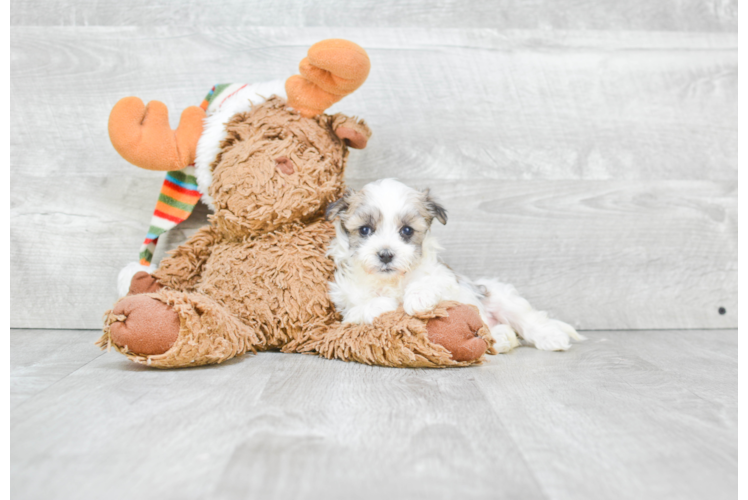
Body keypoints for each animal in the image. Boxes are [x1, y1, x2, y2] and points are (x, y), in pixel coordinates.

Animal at [328, 179, 584, 352]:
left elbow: (430, 282)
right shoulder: (347, 310)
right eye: (365, 230)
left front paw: (417, 298)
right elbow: (367, 306)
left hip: (501, 298)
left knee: (529, 320)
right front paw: (388, 303)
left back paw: (552, 338)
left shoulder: (445, 278)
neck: (391, 280)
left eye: (407, 231)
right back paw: (500, 338)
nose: (385, 254)